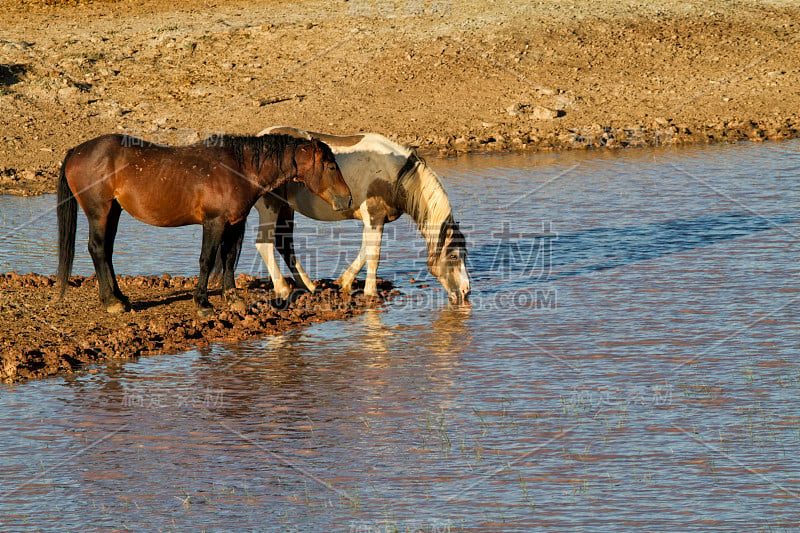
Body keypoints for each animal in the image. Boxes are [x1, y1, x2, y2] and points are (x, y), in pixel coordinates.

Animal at [56, 134, 350, 316]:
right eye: (330, 165)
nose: (347, 198)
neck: (238, 168)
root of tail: (76, 151)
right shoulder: (214, 222)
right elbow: (207, 260)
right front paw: (203, 303)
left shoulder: (234, 223)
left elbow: (229, 258)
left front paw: (233, 298)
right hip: (99, 211)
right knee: (97, 248)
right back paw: (111, 302)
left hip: (114, 211)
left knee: (106, 251)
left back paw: (120, 298)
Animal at [253, 123, 472, 302]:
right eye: (454, 256)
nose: (465, 291)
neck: (395, 174)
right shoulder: (374, 216)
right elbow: (374, 254)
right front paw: (371, 293)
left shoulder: (375, 220)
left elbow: (365, 250)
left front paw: (344, 282)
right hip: (270, 207)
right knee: (265, 244)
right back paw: (283, 289)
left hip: (285, 208)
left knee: (284, 244)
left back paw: (308, 285)